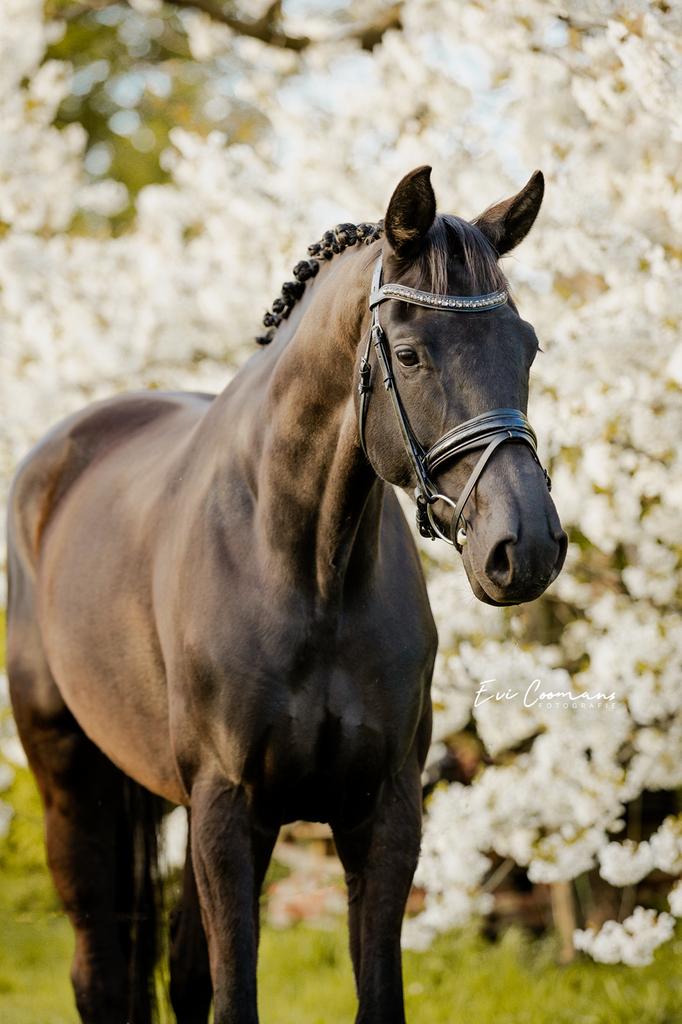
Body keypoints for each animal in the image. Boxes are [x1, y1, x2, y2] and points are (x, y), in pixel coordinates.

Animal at [6, 166, 566, 1024]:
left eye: (527, 346)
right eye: (410, 354)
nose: (526, 544)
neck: (308, 574)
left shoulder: (383, 812)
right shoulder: (231, 811)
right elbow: (235, 997)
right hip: (74, 789)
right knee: (99, 972)